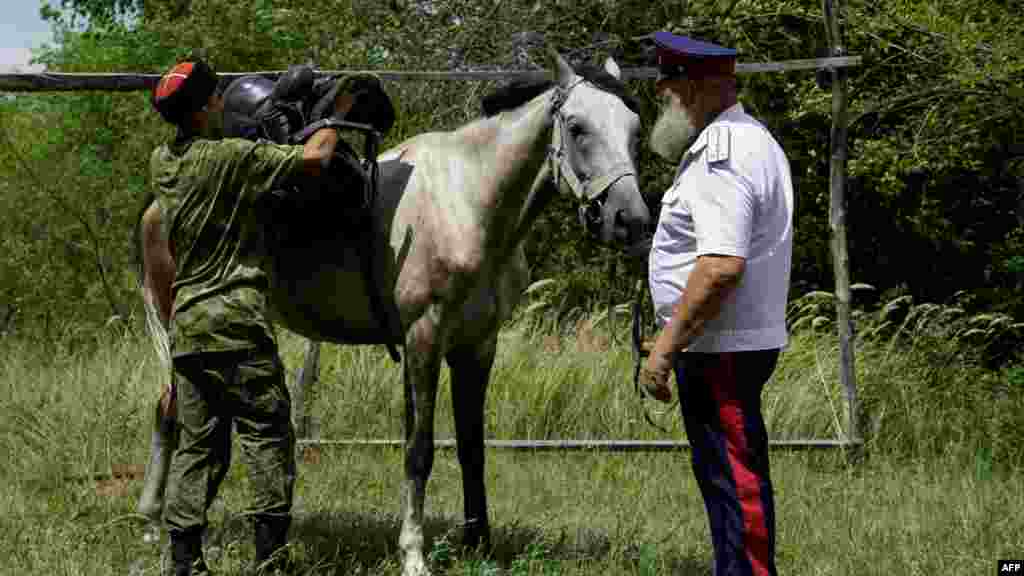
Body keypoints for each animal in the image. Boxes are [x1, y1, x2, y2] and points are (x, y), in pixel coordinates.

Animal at [138, 49, 647, 573]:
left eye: (635, 129)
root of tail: (156, 209)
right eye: (578, 126)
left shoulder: (477, 344)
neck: (466, 200)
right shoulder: (423, 338)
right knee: (172, 414)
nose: (630, 220)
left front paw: (479, 545)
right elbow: (418, 450)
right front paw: (414, 554)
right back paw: (157, 526)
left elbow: (471, 446)